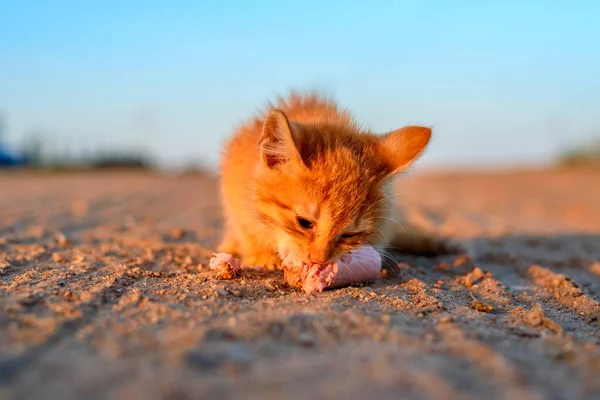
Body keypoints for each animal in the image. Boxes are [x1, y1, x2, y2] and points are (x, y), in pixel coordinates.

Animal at [218, 92, 452, 270]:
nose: (318, 261)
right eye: (304, 222)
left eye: (350, 234)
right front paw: (262, 255)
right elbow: (246, 227)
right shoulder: (234, 190)